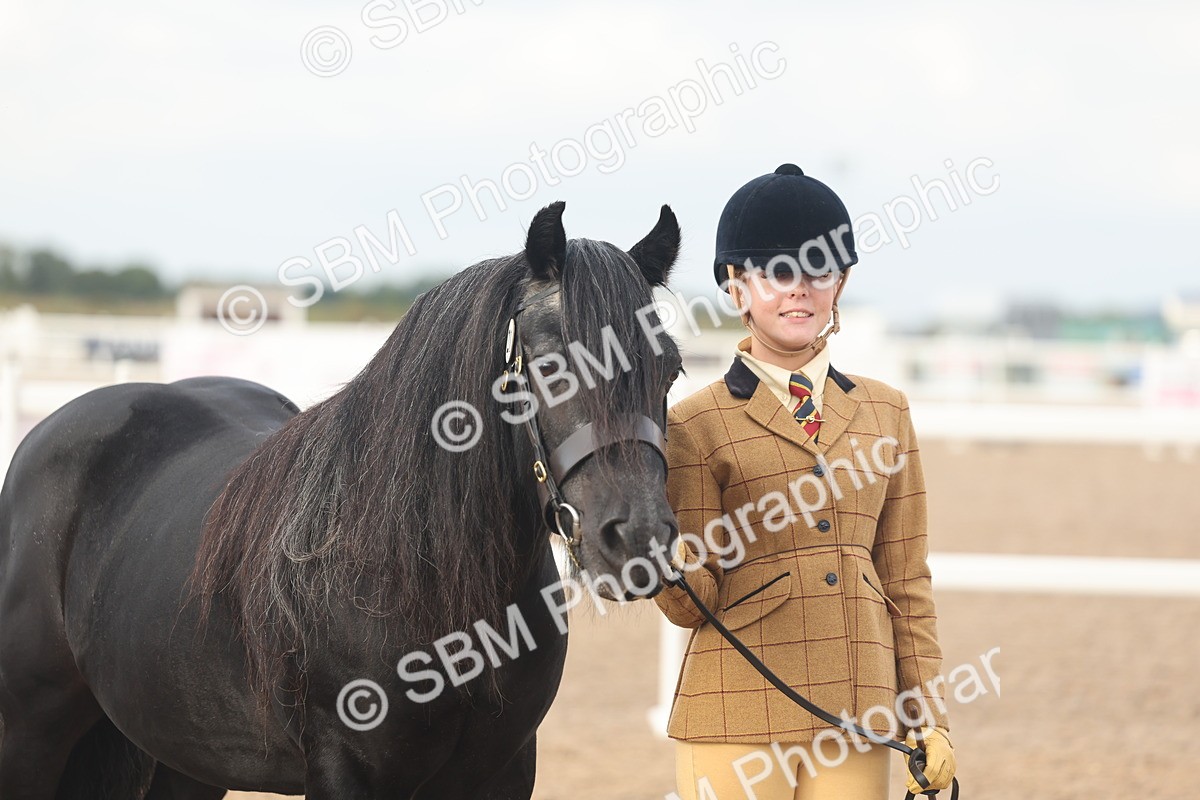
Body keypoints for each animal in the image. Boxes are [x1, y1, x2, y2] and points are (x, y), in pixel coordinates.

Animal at [0, 201, 683, 799]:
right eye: (549, 365)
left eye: (671, 369)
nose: (639, 537)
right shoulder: (347, 773)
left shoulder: (503, 772)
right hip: (29, 737)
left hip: (186, 756)